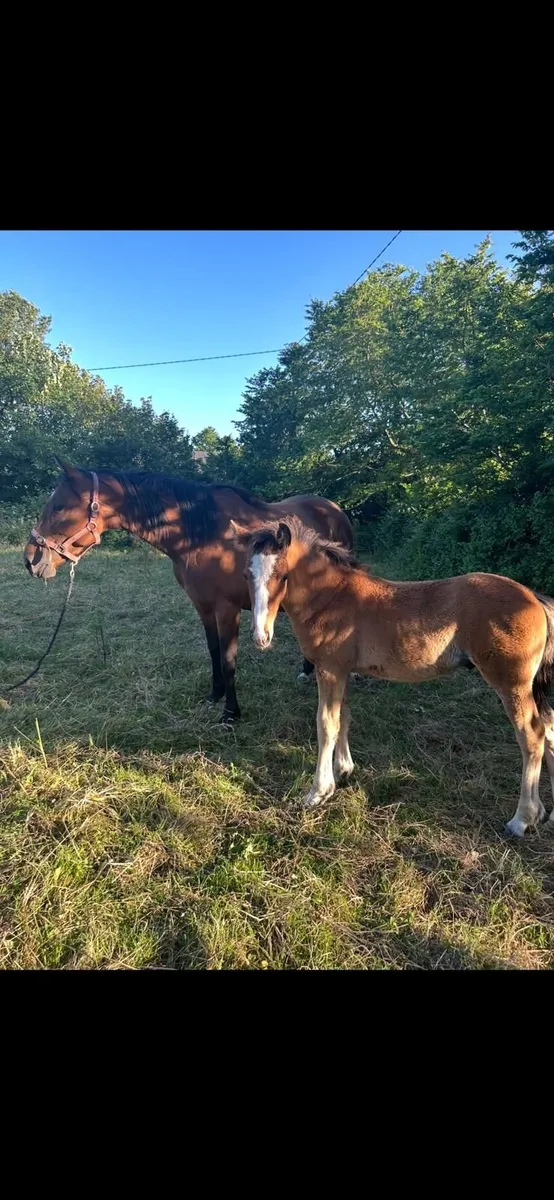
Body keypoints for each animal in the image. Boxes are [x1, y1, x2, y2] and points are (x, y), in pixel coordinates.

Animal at [23, 459, 353, 723]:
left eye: (60, 507)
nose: (31, 560)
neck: (202, 536)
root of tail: (333, 508)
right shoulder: (202, 605)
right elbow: (213, 650)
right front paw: (215, 695)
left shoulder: (227, 608)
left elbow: (229, 659)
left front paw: (231, 713)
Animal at [235, 515, 554, 837]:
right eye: (247, 575)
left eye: (282, 575)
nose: (260, 637)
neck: (331, 597)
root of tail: (534, 598)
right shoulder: (343, 671)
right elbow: (343, 718)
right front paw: (344, 770)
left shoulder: (329, 669)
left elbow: (326, 724)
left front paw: (318, 792)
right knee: (549, 729)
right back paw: (547, 815)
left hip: (512, 685)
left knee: (532, 736)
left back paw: (522, 819)